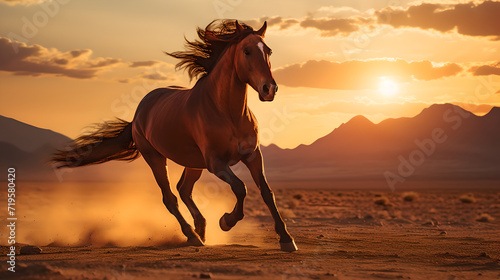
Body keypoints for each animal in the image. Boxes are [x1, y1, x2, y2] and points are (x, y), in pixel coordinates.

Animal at [52, 19, 296, 252]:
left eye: (269, 51)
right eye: (246, 51)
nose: (269, 89)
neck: (228, 113)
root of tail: (139, 113)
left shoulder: (252, 156)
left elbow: (267, 192)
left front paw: (286, 239)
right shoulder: (216, 163)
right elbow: (240, 188)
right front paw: (226, 221)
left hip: (194, 163)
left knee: (183, 190)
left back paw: (201, 229)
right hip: (156, 158)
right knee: (170, 198)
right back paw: (192, 236)